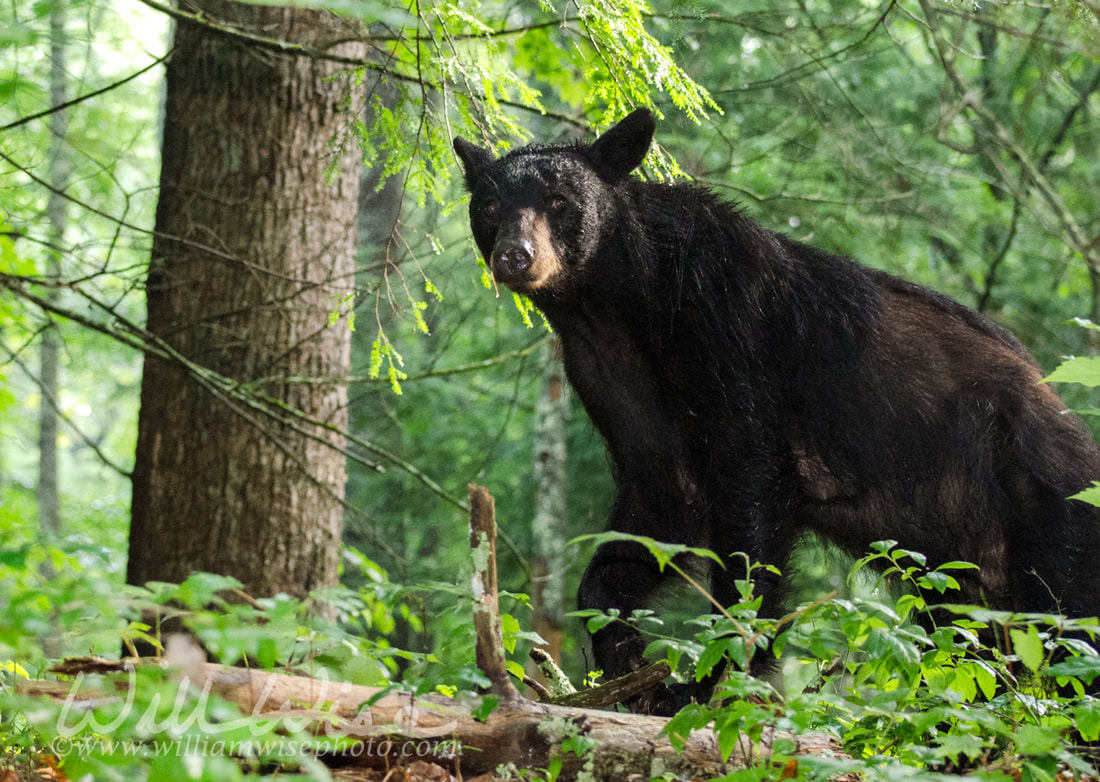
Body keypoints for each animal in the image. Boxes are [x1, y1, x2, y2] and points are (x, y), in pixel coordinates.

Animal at [448, 107, 1100, 712]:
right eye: (490, 206)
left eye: (558, 200)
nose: (515, 256)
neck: (619, 306)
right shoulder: (613, 381)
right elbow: (655, 506)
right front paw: (626, 662)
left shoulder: (731, 329)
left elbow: (750, 498)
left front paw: (712, 680)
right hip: (955, 560)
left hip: (1048, 509)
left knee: (1071, 625)